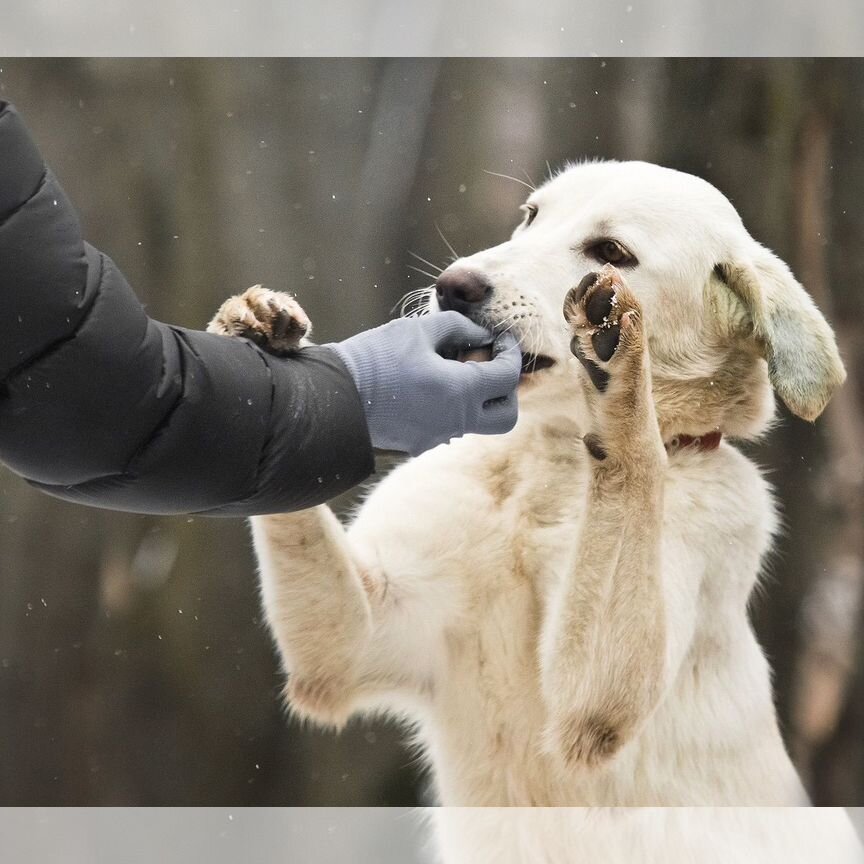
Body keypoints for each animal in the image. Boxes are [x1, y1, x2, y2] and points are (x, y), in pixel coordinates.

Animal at [213, 164, 860, 864]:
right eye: (530, 216)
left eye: (611, 252)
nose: (454, 284)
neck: (551, 468)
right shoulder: (352, 643)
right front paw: (258, 331)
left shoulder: (591, 704)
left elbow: (635, 461)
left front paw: (618, 358)